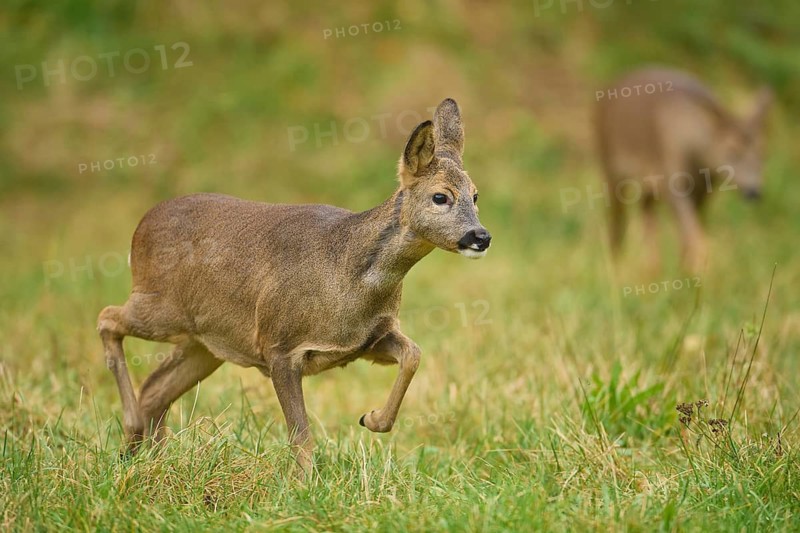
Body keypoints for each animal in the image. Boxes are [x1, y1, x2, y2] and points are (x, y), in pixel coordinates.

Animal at [97, 98, 491, 475]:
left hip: (205, 342)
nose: (481, 236)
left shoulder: (366, 341)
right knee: (107, 317)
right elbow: (300, 433)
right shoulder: (279, 345)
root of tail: (140, 227)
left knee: (155, 387)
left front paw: (372, 418)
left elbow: (413, 353)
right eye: (440, 196)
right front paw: (304, 485)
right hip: (159, 304)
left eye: (475, 196)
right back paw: (134, 437)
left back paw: (146, 457)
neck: (345, 276)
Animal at [594, 67, 771, 272]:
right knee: (617, 215)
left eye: (762, 152)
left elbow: (695, 227)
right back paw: (616, 262)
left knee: (645, 206)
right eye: (732, 150)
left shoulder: (704, 190)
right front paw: (700, 266)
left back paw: (653, 267)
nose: (753, 192)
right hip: (609, 161)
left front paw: (687, 269)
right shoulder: (672, 175)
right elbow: (691, 228)